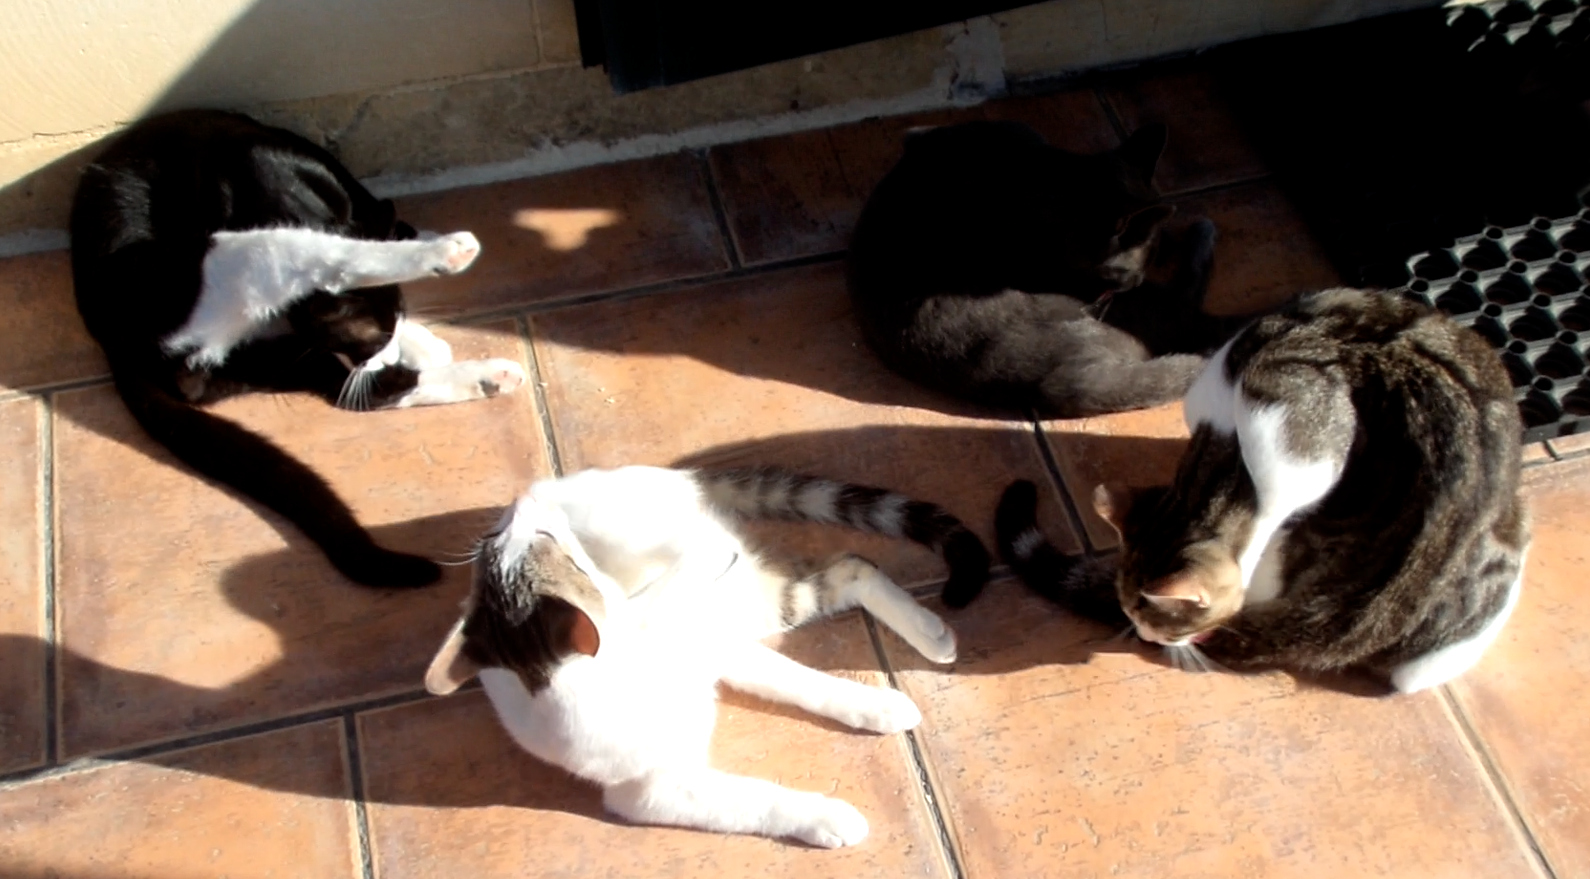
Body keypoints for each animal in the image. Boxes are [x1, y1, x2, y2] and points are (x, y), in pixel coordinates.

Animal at [70, 109, 526, 589]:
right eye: (366, 338)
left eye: (394, 317)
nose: (379, 354)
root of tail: (116, 348)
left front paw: (414, 330)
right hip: (195, 272)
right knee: (305, 264)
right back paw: (446, 263)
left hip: (254, 357)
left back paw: (480, 373)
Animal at [423, 465, 988, 846]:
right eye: (538, 538)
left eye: (509, 538)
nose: (517, 504)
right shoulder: (653, 790)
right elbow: (757, 799)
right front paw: (828, 818)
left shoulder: (714, 644)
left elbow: (807, 682)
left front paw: (877, 705)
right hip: (752, 605)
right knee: (847, 568)